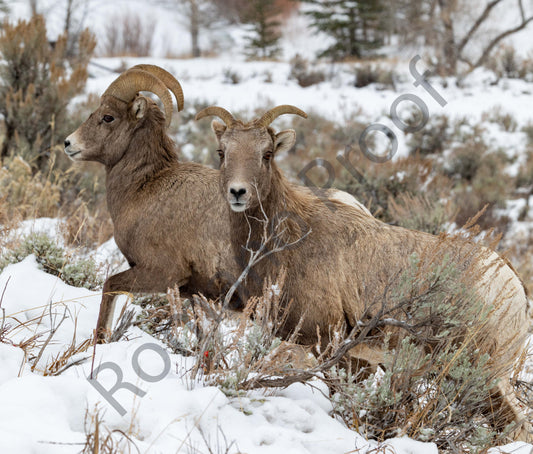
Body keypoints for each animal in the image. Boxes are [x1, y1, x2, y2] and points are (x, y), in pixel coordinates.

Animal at [197, 104, 532, 442]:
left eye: (266, 154)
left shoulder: (331, 347)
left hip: (482, 376)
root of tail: (512, 284)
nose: (238, 192)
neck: (290, 240)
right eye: (222, 152)